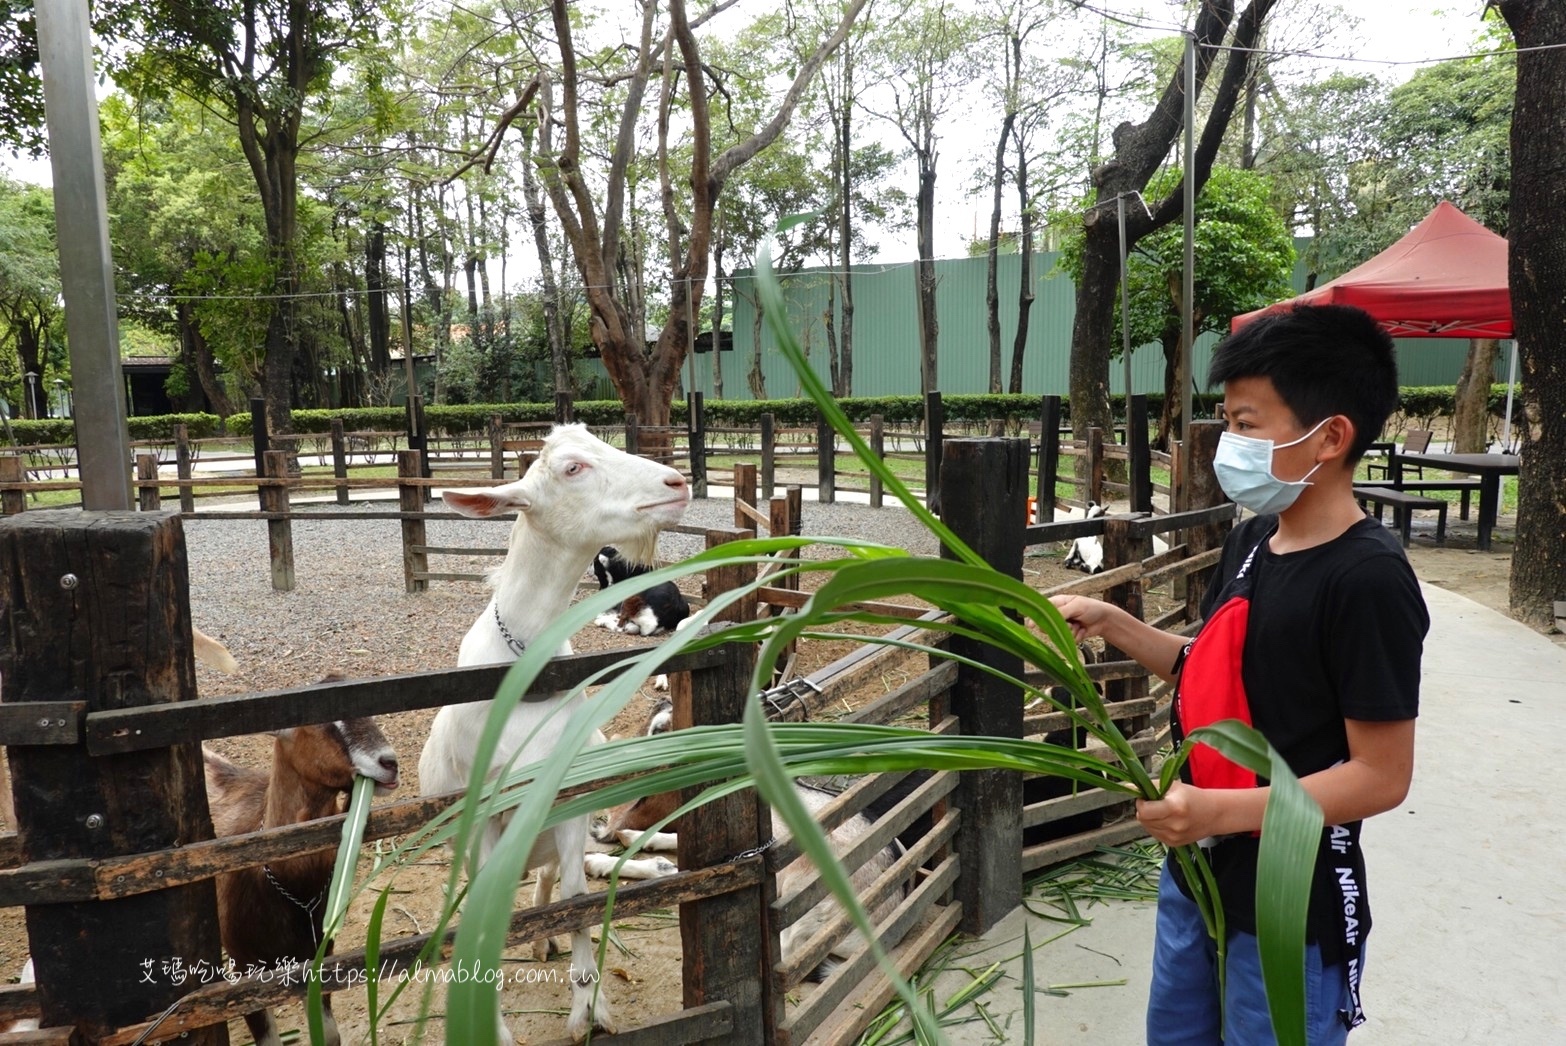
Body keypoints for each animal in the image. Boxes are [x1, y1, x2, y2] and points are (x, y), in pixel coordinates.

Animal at [416, 419, 692, 1039]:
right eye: (572, 468)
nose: (677, 481)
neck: (527, 679)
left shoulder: (567, 797)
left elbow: (574, 896)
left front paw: (590, 1009)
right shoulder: (483, 816)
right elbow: (486, 913)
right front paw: (493, 1028)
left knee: (545, 884)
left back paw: (545, 943)